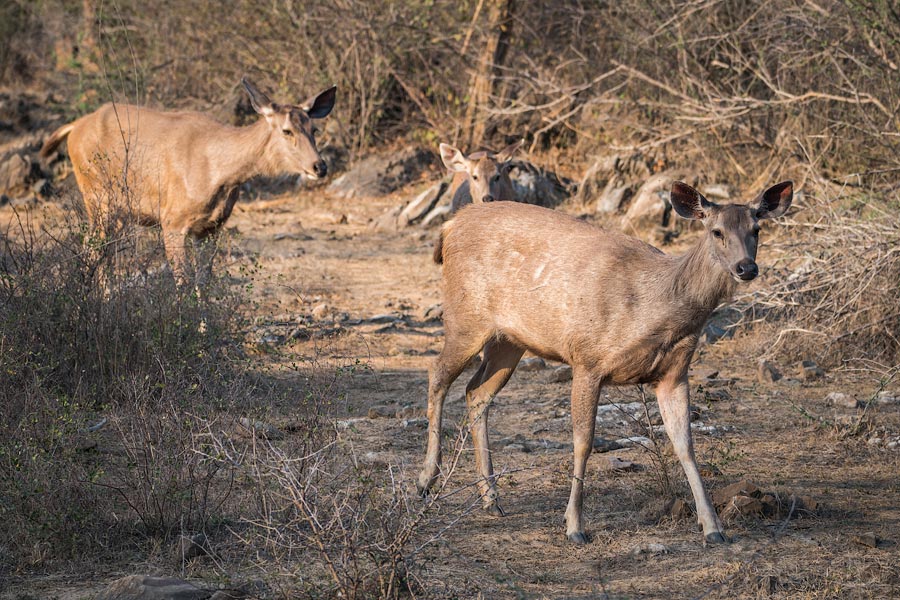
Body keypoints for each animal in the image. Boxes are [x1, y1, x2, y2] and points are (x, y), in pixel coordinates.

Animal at [39, 78, 336, 287]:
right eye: (287, 131)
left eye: (314, 129)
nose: (320, 166)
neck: (218, 174)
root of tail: (74, 127)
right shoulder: (172, 220)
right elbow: (183, 283)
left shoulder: (211, 228)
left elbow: (203, 282)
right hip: (95, 194)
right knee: (94, 250)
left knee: (103, 252)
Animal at [417, 180, 793, 545]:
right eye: (716, 231)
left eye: (757, 228)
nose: (746, 267)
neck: (655, 308)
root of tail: (450, 226)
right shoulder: (587, 359)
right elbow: (584, 442)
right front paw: (574, 526)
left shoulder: (674, 373)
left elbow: (685, 444)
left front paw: (713, 528)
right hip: (466, 317)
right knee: (437, 374)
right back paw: (426, 480)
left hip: (509, 340)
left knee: (476, 392)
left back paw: (491, 498)